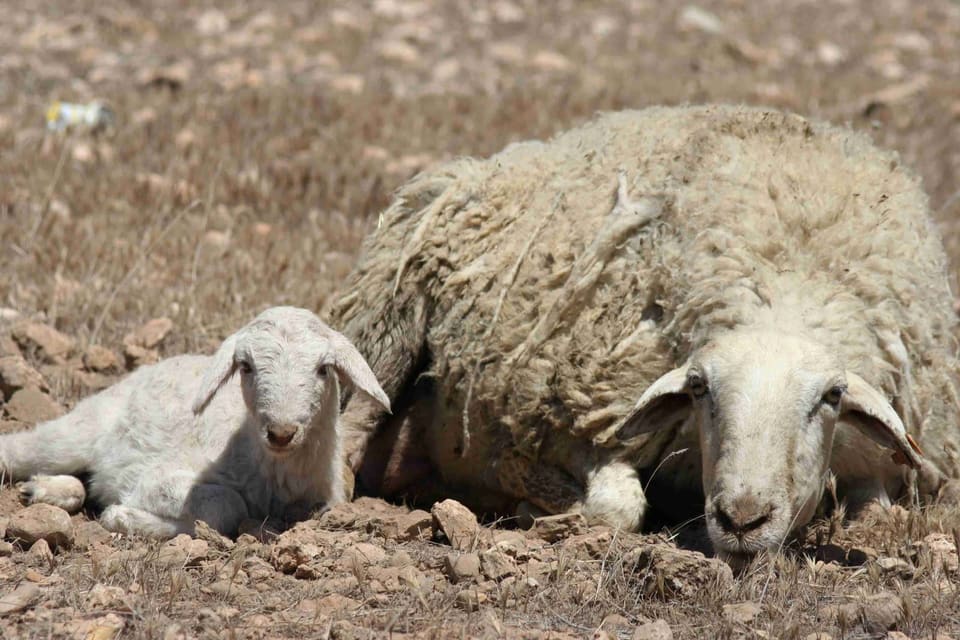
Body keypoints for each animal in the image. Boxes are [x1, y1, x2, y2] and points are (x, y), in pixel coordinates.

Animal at [0, 306, 390, 538]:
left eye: (324, 369)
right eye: (245, 366)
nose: (281, 433)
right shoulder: (155, 478)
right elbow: (225, 504)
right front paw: (121, 516)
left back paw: (43, 490)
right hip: (78, 431)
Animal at [330, 104, 960, 561]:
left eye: (830, 397)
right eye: (700, 389)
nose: (741, 520)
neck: (785, 283)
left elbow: (882, 516)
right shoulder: (575, 421)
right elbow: (617, 509)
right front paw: (543, 507)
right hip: (387, 320)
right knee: (353, 427)